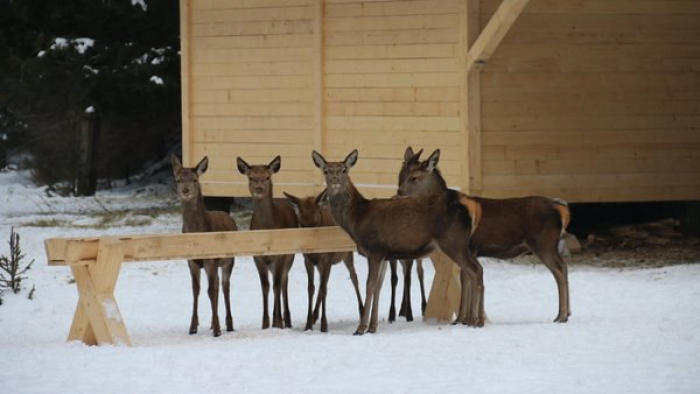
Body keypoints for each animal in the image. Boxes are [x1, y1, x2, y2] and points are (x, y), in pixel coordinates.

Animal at [170, 155, 237, 338]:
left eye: (194, 179)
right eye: (178, 180)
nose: (185, 190)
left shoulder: (210, 260)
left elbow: (210, 290)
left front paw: (218, 329)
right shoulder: (191, 262)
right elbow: (196, 289)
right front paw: (193, 326)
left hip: (229, 260)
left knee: (224, 286)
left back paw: (228, 324)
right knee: (217, 285)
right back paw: (214, 323)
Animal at [238, 155, 298, 328]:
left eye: (267, 177)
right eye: (251, 177)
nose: (259, 189)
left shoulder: (281, 254)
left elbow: (276, 285)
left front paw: (277, 322)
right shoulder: (257, 257)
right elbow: (265, 286)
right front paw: (265, 323)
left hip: (289, 256)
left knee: (283, 280)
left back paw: (286, 320)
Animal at [282, 191, 364, 332]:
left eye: (315, 222)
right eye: (300, 223)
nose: (309, 244)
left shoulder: (327, 259)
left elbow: (324, 288)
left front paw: (324, 325)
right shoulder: (308, 260)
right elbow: (311, 288)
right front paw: (308, 324)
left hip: (346, 254)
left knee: (353, 277)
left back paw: (362, 310)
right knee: (322, 282)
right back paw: (314, 315)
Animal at [314, 149, 484, 334]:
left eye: (344, 170)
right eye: (326, 170)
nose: (335, 180)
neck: (356, 219)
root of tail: (473, 206)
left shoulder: (374, 250)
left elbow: (370, 285)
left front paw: (361, 328)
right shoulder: (383, 255)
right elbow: (379, 287)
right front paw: (373, 327)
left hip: (453, 242)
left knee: (474, 270)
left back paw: (473, 321)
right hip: (461, 244)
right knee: (475, 270)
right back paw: (476, 320)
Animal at [396, 148, 572, 324]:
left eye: (414, 177)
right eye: (401, 174)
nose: (399, 192)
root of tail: (562, 209)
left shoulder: (469, 247)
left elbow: (466, 278)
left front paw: (465, 318)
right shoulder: (471, 250)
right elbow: (465, 278)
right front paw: (462, 318)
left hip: (544, 243)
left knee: (559, 269)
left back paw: (561, 315)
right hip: (547, 244)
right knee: (563, 267)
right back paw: (567, 313)